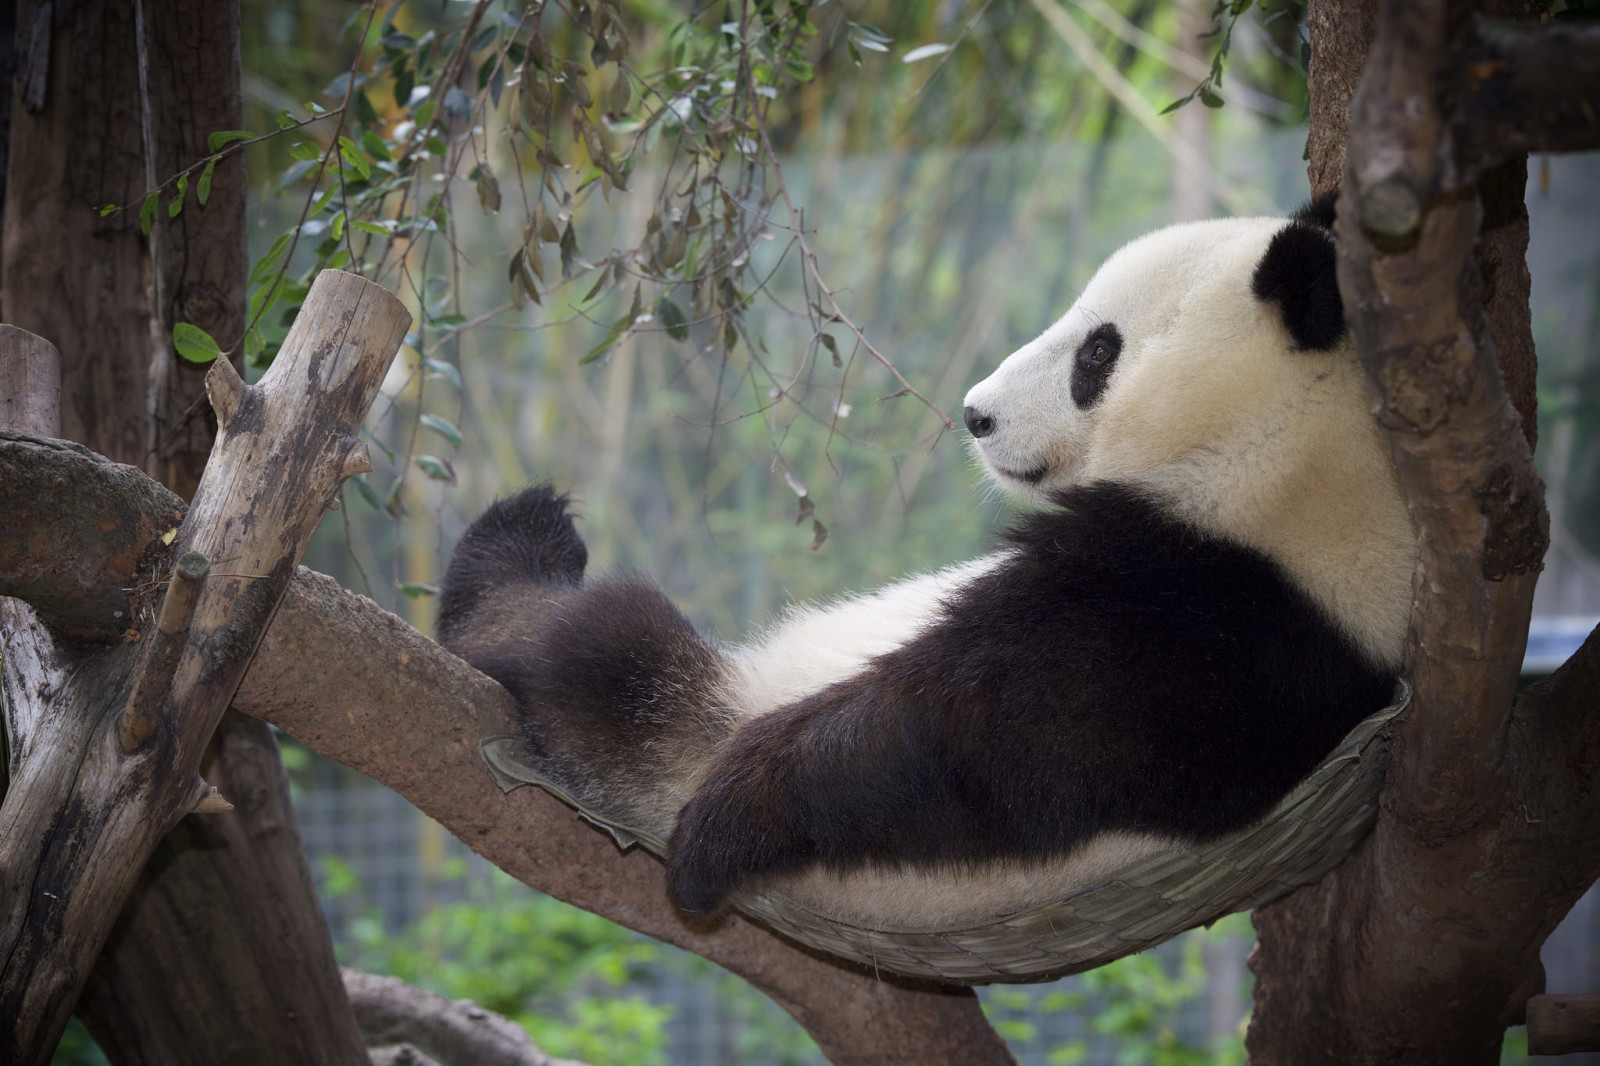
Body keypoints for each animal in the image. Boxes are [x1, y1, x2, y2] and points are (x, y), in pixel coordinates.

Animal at [438, 199, 1414, 928]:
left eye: (1098, 351)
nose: (977, 414)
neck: (1289, 455)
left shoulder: (1211, 618)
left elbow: (969, 741)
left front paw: (728, 823)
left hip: (693, 714)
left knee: (603, 651)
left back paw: (518, 566)